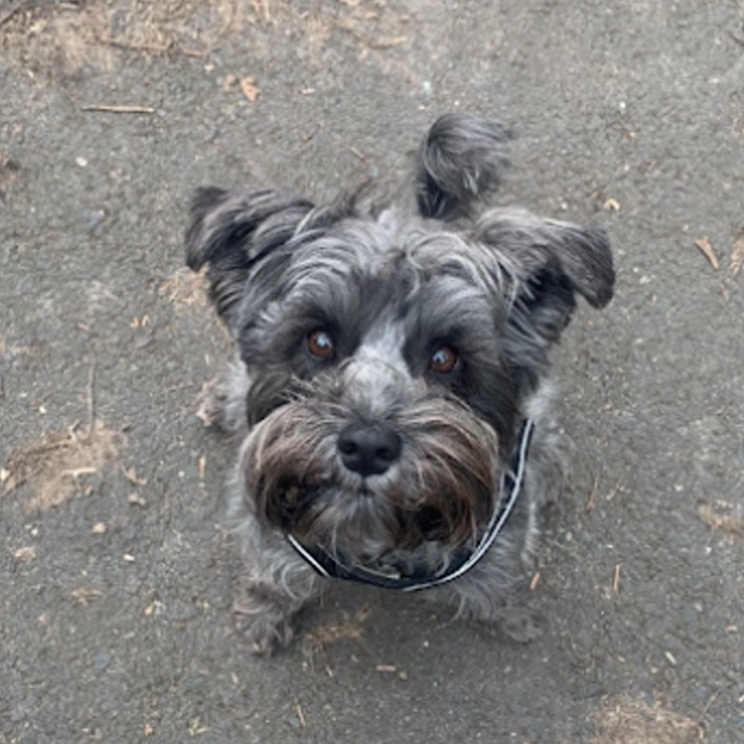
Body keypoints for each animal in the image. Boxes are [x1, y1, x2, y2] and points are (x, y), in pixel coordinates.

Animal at [186, 113, 616, 652]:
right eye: (319, 341)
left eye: (445, 357)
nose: (368, 446)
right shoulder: (268, 525)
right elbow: (274, 574)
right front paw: (264, 614)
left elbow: (499, 582)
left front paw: (511, 614)